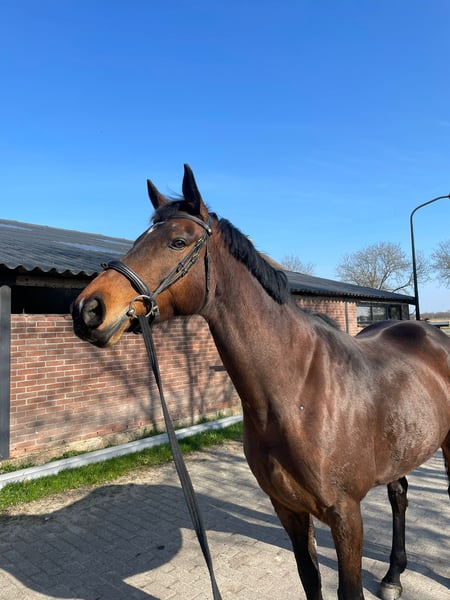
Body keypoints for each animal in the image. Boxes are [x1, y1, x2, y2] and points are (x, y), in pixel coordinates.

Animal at [72, 165, 450, 600]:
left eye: (177, 242)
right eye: (137, 240)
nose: (88, 309)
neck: (296, 393)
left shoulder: (346, 515)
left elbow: (347, 590)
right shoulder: (288, 509)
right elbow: (310, 580)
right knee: (399, 496)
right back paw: (392, 577)